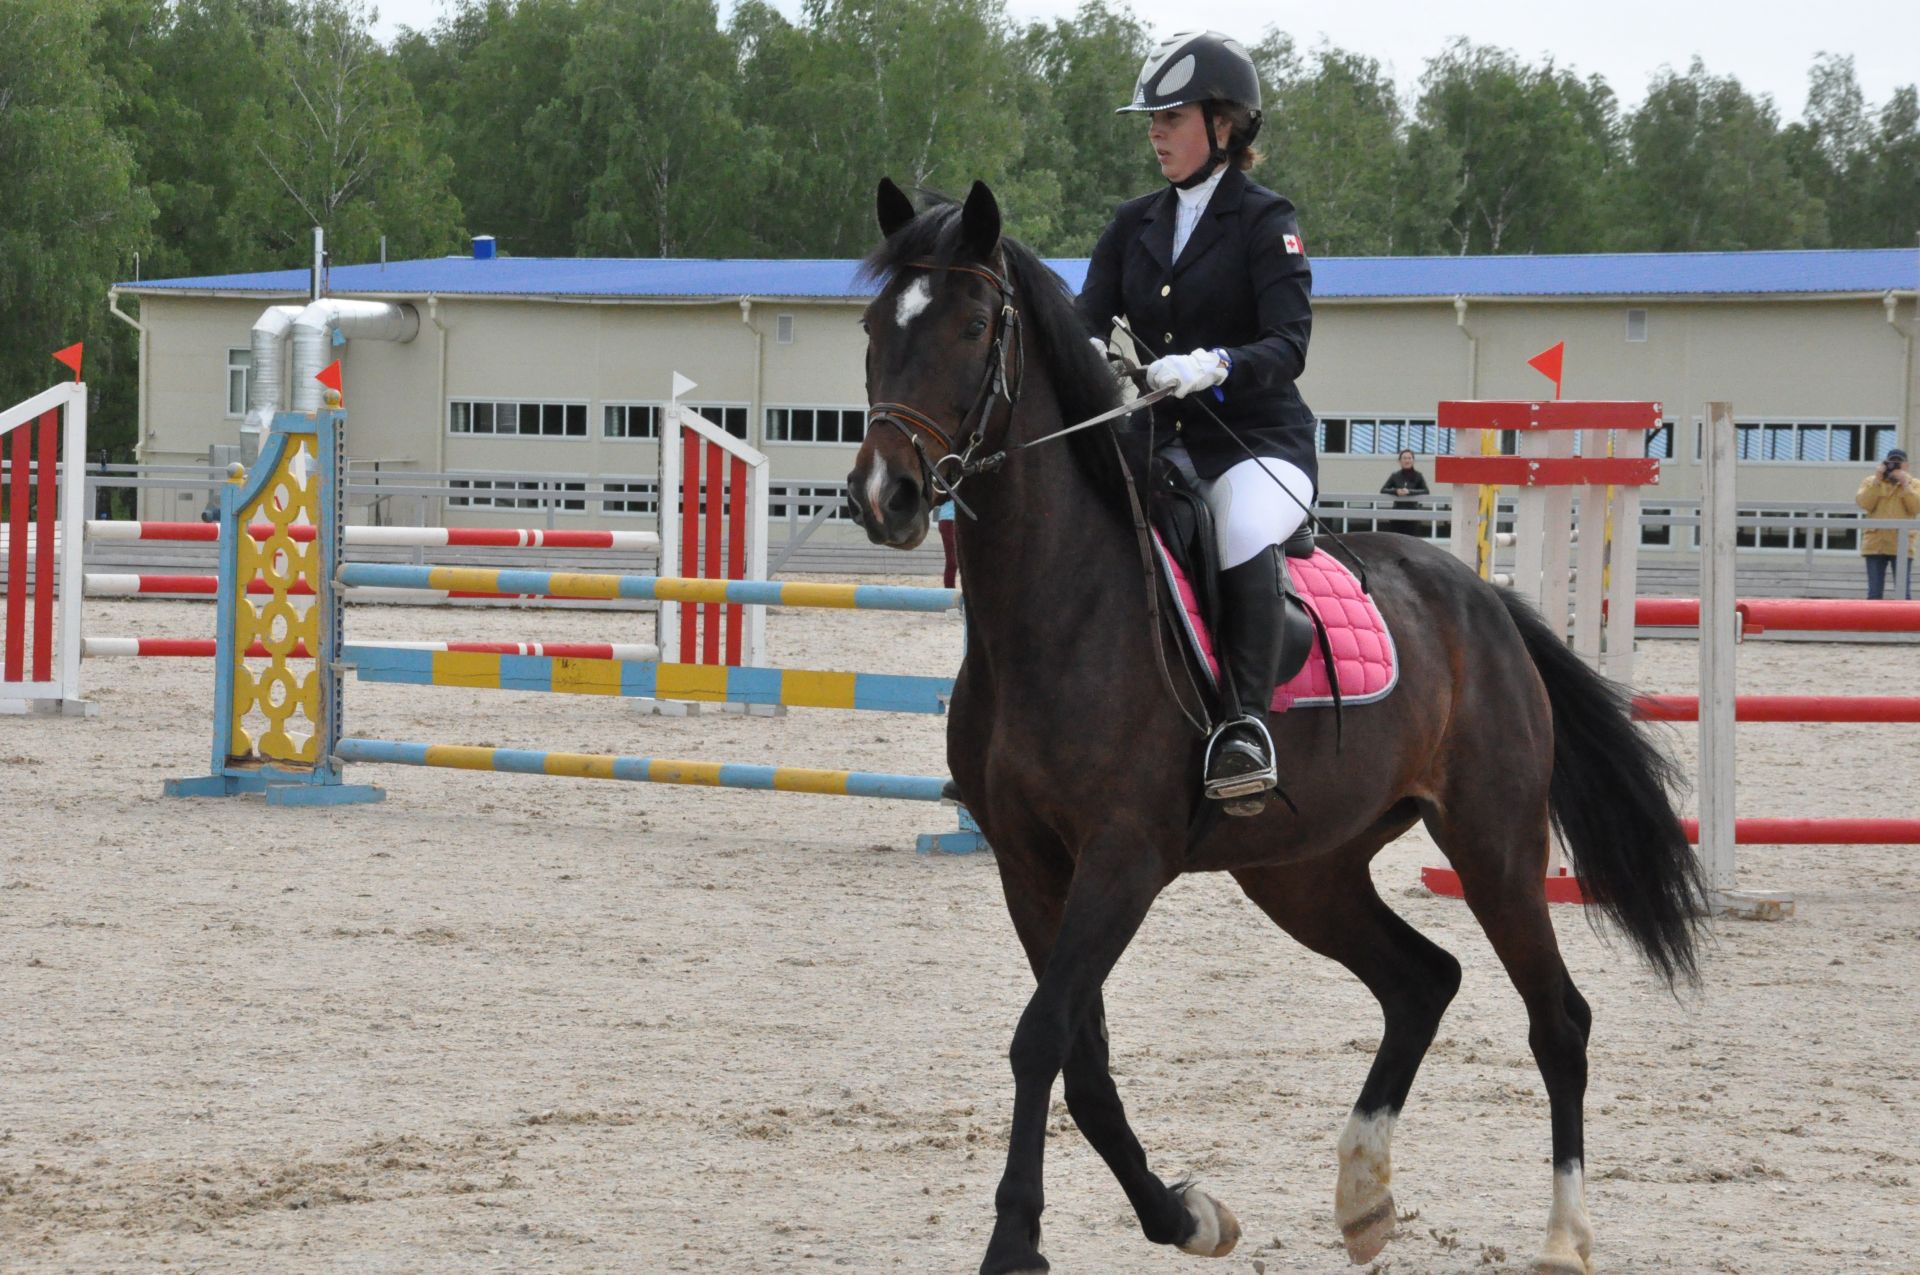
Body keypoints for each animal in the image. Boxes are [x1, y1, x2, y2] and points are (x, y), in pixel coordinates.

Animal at [848, 179, 1704, 1275]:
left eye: (967, 326)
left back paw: (1562, 1233)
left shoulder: (1123, 856)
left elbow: (1042, 1037)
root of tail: (1483, 600)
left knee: (1558, 1016)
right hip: (1303, 870)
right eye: (875, 327)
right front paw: (1183, 1214)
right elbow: (1082, 1051)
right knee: (1422, 980)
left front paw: (1016, 1241)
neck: (1059, 605)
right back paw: (1363, 1198)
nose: (884, 496)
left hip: (1493, 844)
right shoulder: (1028, 863)